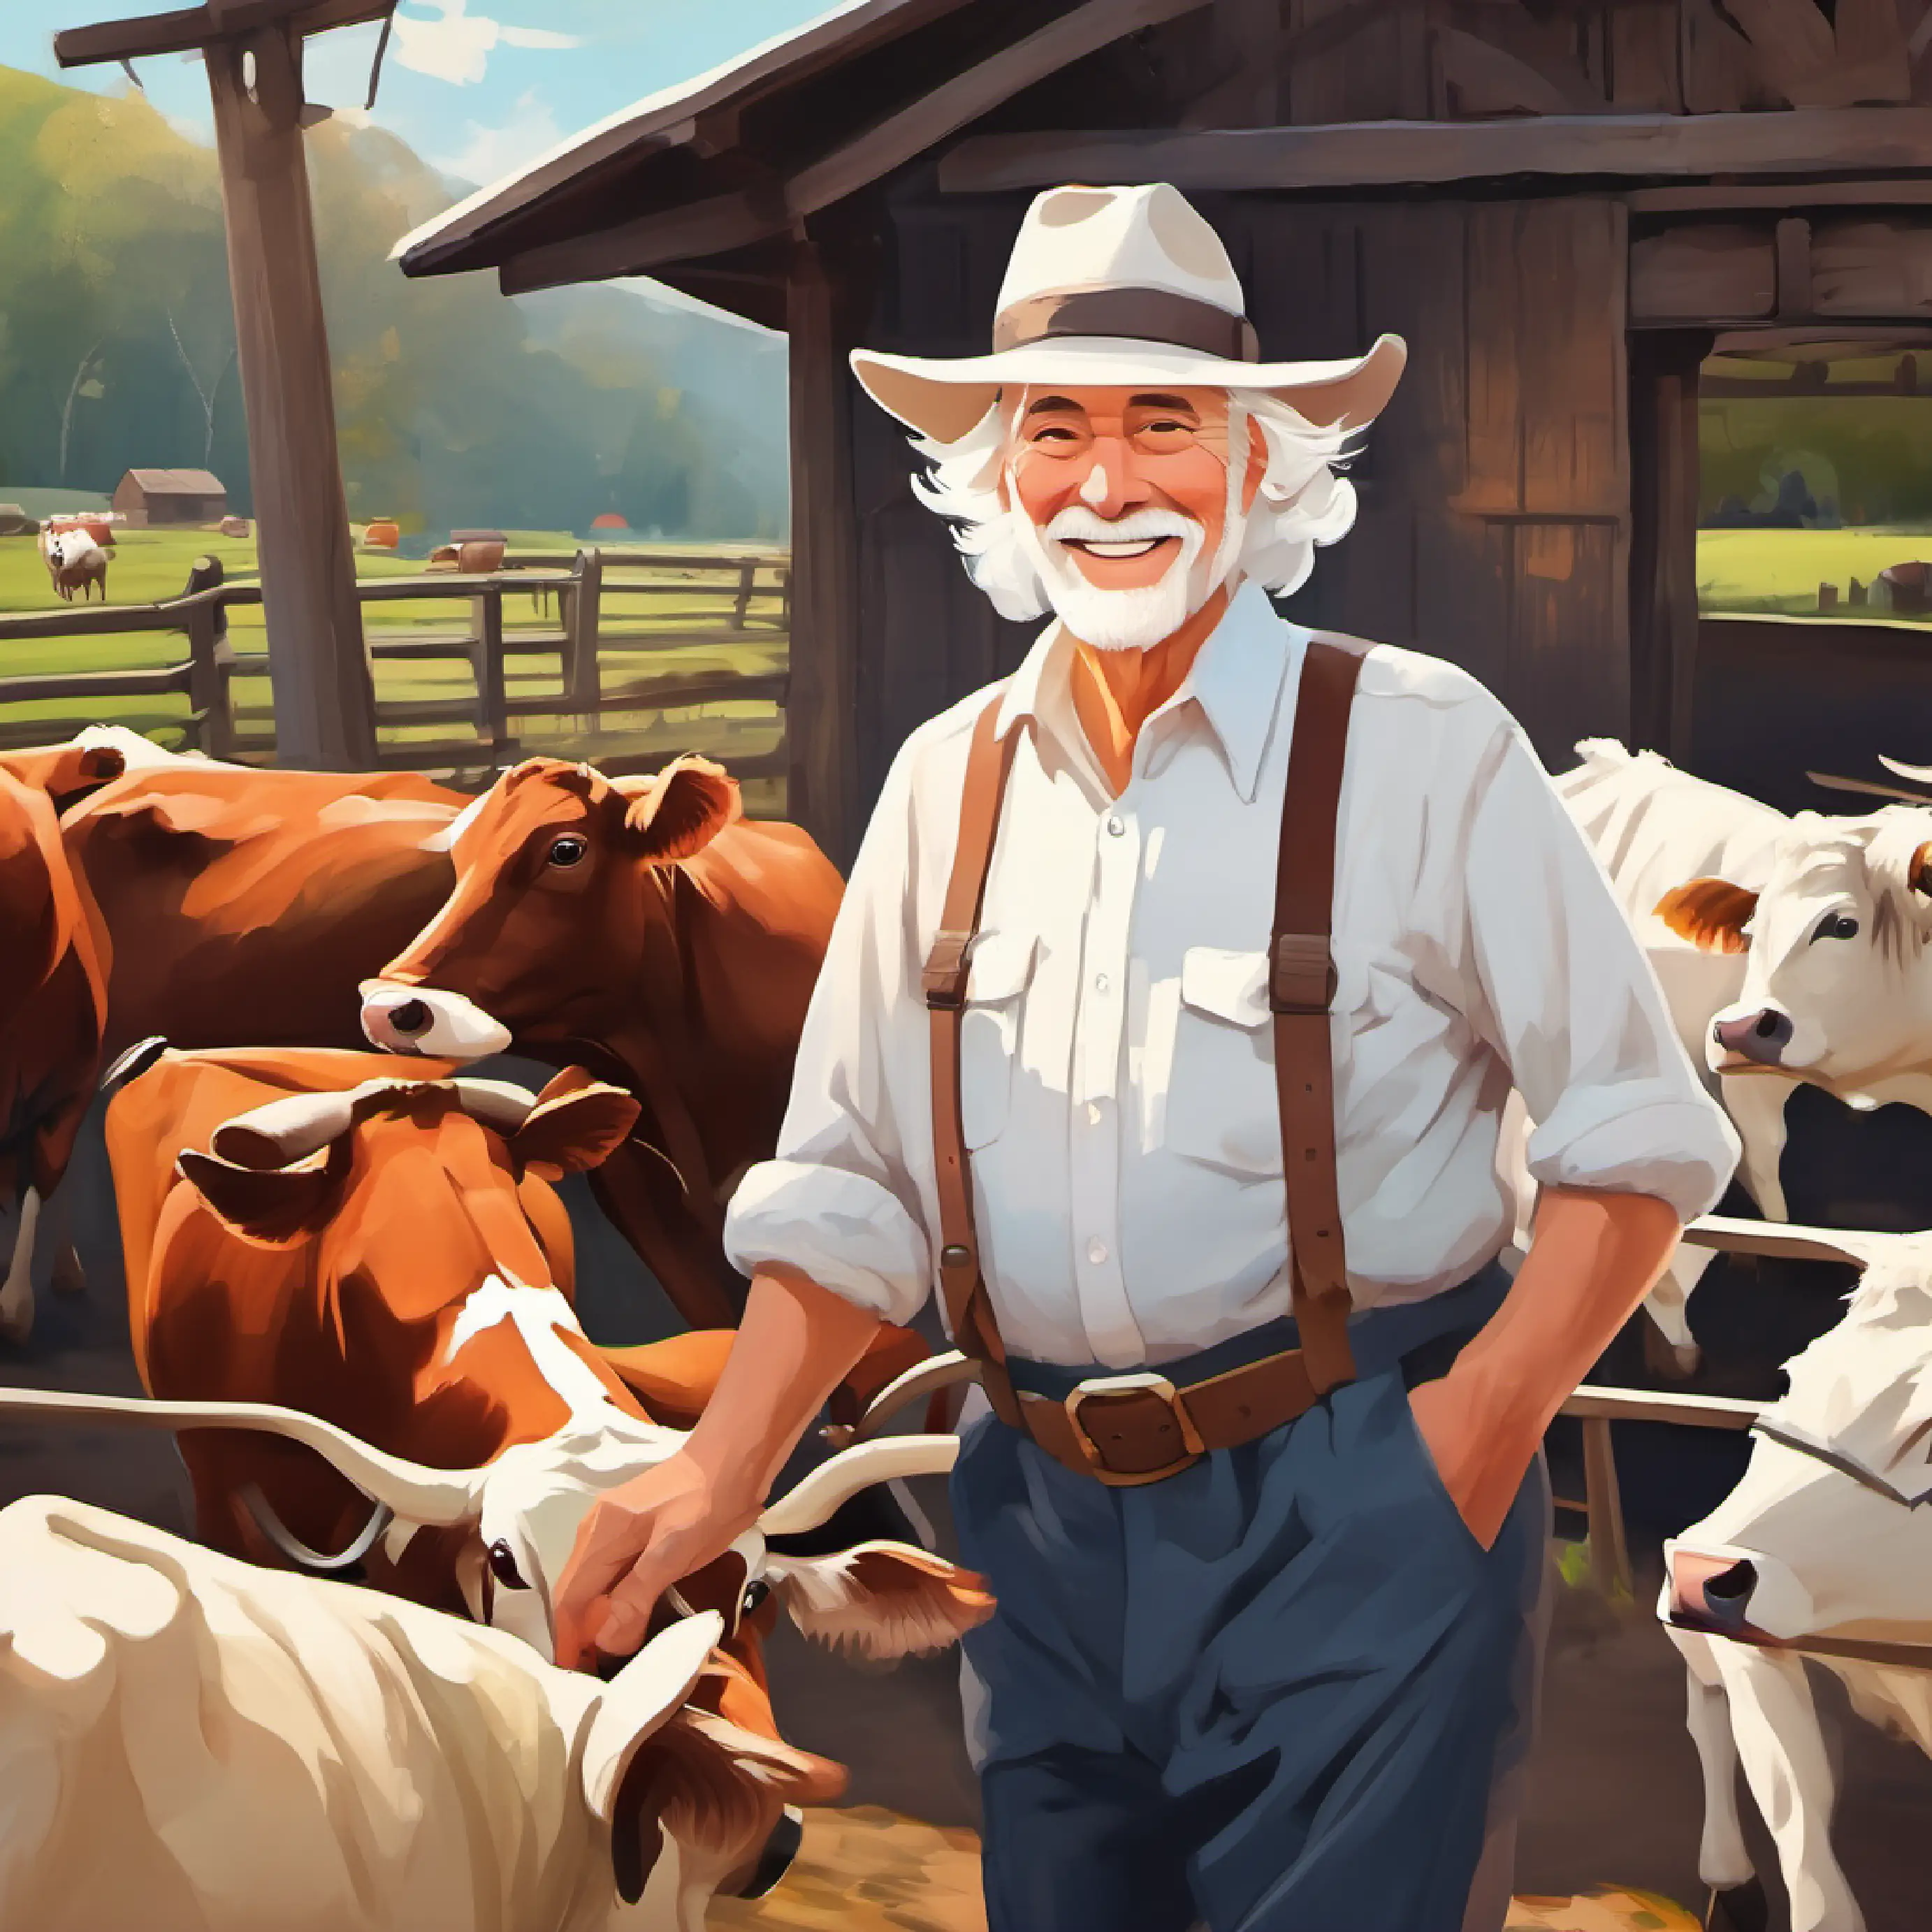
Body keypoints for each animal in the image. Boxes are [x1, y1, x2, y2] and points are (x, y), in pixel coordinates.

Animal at [1653, 1221, 1932, 1932]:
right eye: (1790, 1376)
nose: (1700, 1572)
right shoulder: (1753, 1649)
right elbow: (1798, 1810)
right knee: (1706, 1716)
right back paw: (1729, 1875)